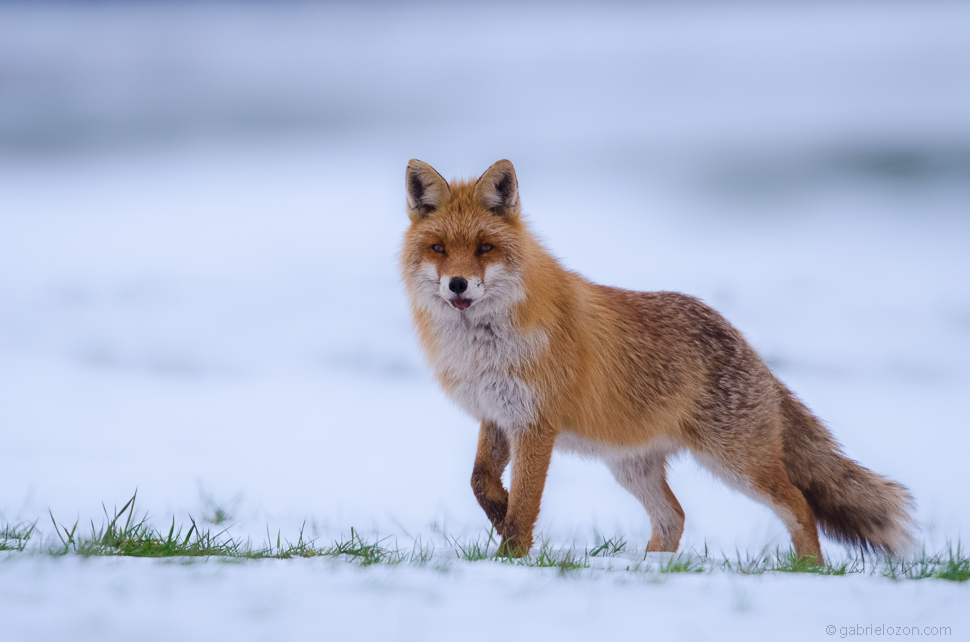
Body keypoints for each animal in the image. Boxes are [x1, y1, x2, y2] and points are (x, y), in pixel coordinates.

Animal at [400, 156, 916, 560]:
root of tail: (741, 339)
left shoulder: (534, 423)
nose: (458, 285)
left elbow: (525, 504)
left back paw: (809, 570)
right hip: (632, 467)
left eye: (485, 248)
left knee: (797, 503)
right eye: (439, 248)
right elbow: (481, 482)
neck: (482, 347)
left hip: (737, 462)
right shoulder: (497, 413)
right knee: (675, 517)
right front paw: (498, 512)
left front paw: (511, 555)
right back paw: (651, 568)